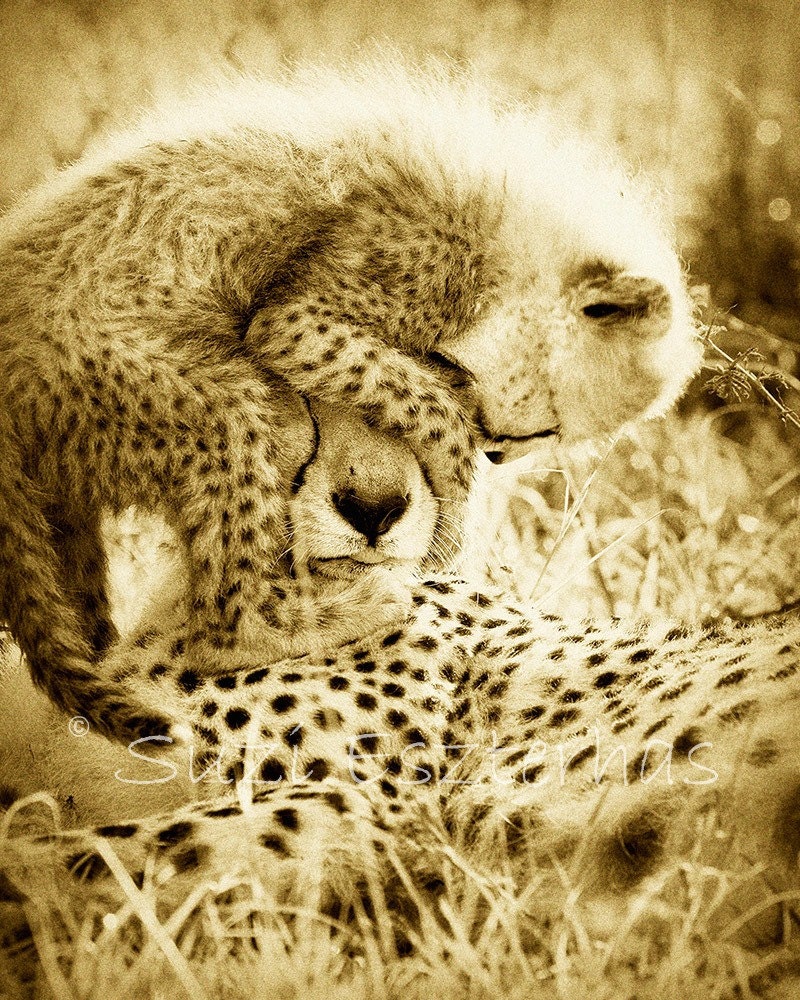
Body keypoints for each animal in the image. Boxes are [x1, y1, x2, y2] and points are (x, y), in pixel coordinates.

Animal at [0, 55, 702, 749]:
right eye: (543, 430)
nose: (499, 451)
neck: (512, 234)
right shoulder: (309, 314)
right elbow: (418, 399)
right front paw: (454, 490)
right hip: (194, 406)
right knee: (222, 625)